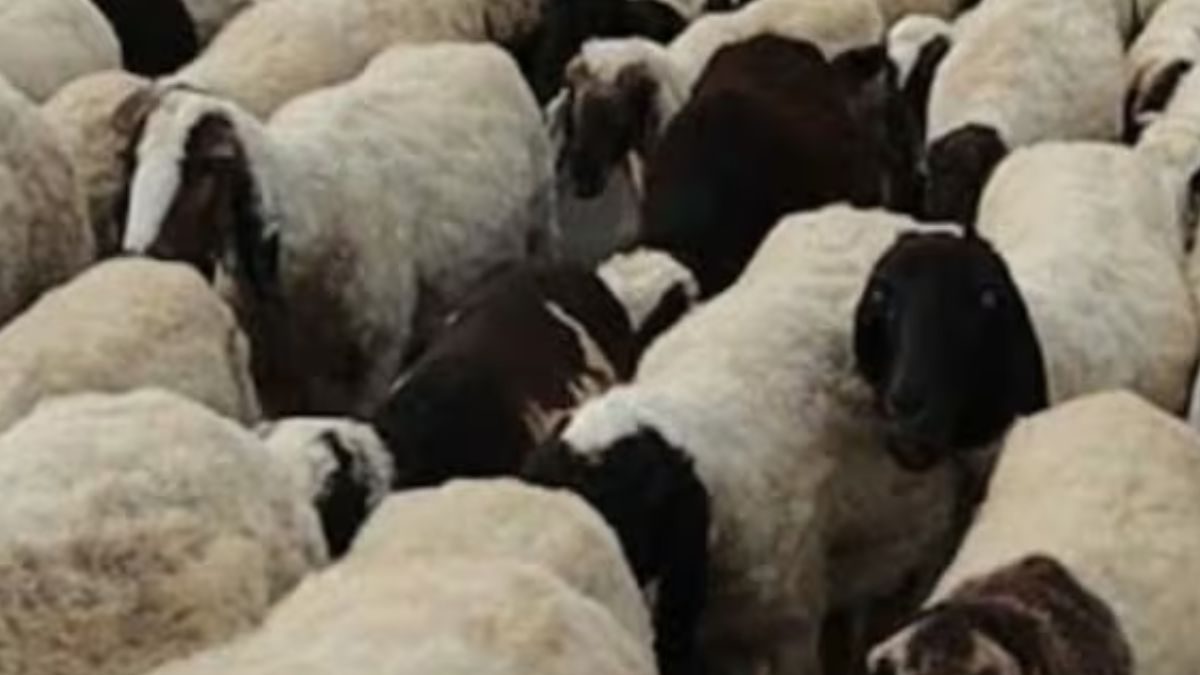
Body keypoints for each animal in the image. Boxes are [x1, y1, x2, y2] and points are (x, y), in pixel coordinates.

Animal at [121, 42, 557, 417]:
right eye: (137, 158)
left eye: (208, 167)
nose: (138, 253)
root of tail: (472, 48)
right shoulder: (273, 379)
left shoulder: (373, 362)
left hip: (540, 231)